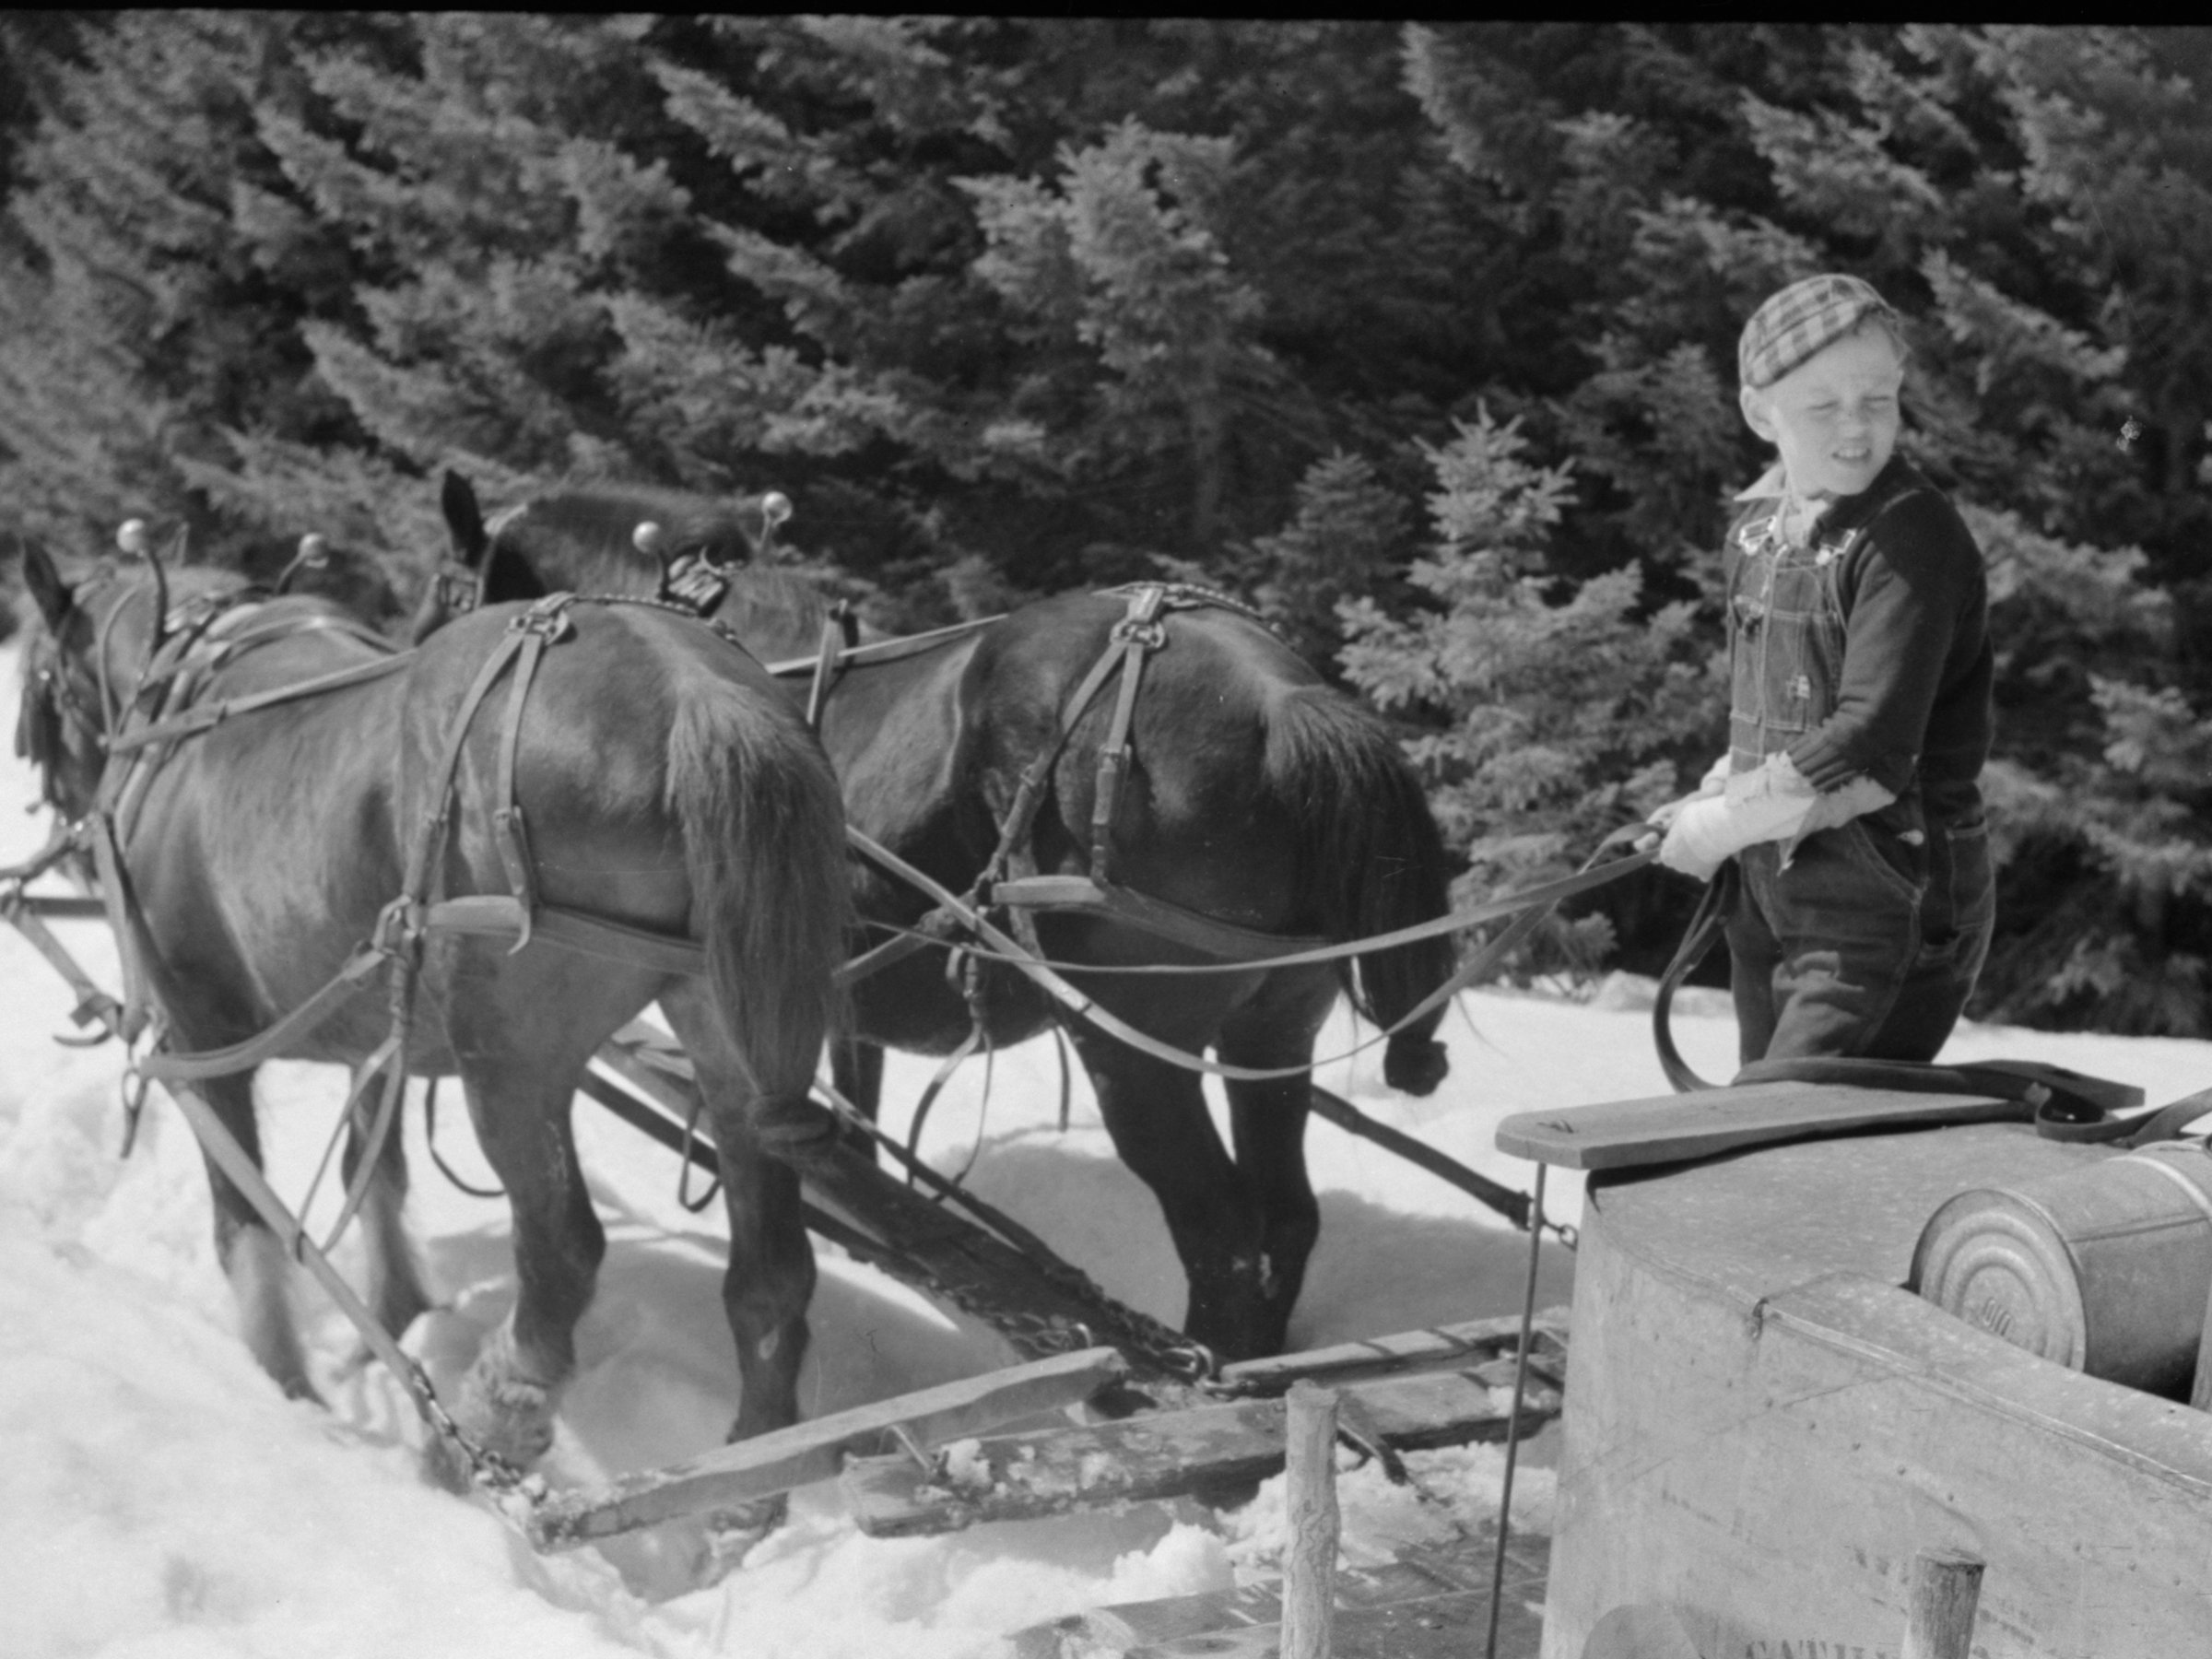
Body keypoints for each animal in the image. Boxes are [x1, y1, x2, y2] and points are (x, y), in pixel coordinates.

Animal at [15, 539, 852, 1520]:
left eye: (36, 681)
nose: (62, 823)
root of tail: (696, 692)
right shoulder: (379, 1029)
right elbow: (373, 1169)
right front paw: (397, 1311)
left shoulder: (196, 1034)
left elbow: (244, 1221)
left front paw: (281, 1380)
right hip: (732, 1032)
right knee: (772, 1277)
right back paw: (744, 1493)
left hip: (512, 1063)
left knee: (562, 1256)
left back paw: (480, 1436)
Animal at [416, 475, 1458, 1362]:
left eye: (443, 591)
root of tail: (1283, 699)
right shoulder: (837, 1000)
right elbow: (854, 1107)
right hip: (1274, 1029)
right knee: (1287, 1218)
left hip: (1135, 1048)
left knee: (1223, 1234)